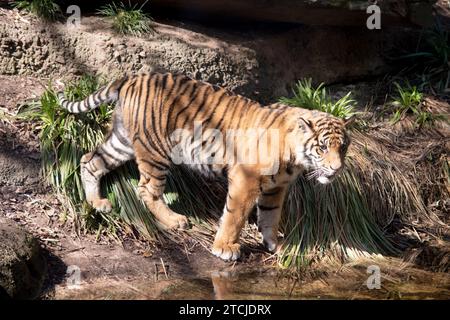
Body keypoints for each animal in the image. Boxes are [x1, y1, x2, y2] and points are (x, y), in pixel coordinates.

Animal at [57, 71, 352, 262]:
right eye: (322, 148)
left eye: (343, 147)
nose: (337, 169)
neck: (294, 159)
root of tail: (131, 78)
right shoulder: (246, 180)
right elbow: (235, 216)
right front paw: (225, 247)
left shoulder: (275, 189)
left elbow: (270, 216)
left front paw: (276, 245)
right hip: (156, 150)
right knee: (147, 189)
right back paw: (174, 220)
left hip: (124, 141)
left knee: (90, 161)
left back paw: (97, 203)